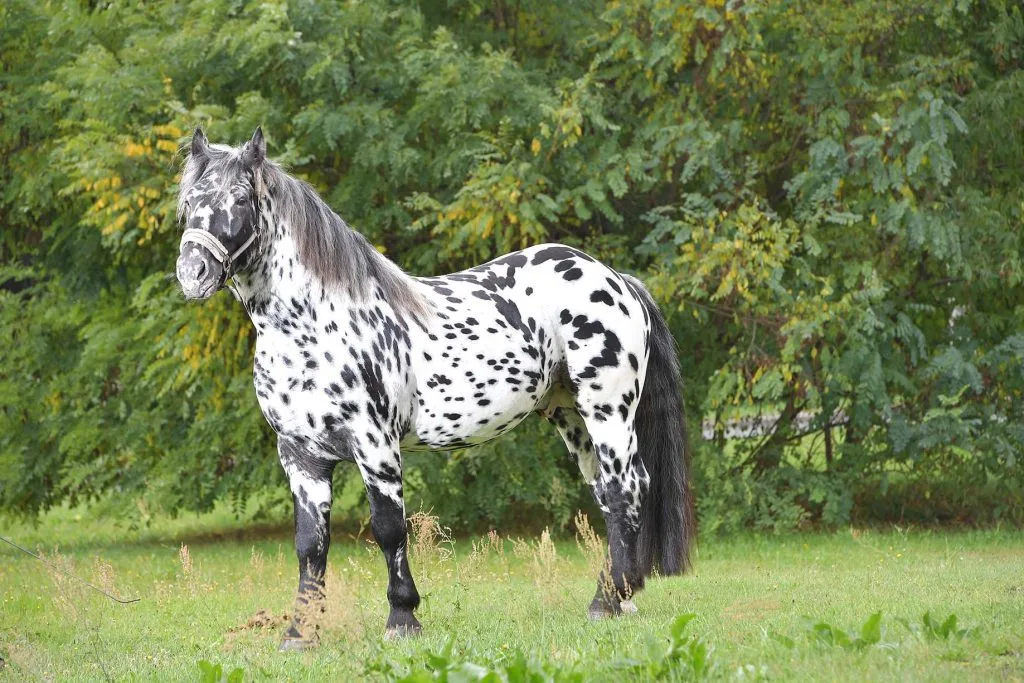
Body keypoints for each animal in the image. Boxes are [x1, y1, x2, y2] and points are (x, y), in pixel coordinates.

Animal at [174, 128, 695, 649]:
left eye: (241, 199)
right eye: (189, 201)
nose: (192, 273)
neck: (313, 327)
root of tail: (616, 279)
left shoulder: (376, 445)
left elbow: (388, 530)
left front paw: (402, 618)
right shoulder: (301, 456)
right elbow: (309, 544)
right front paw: (301, 631)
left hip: (609, 411)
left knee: (627, 487)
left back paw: (607, 601)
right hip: (571, 415)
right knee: (608, 495)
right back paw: (620, 598)